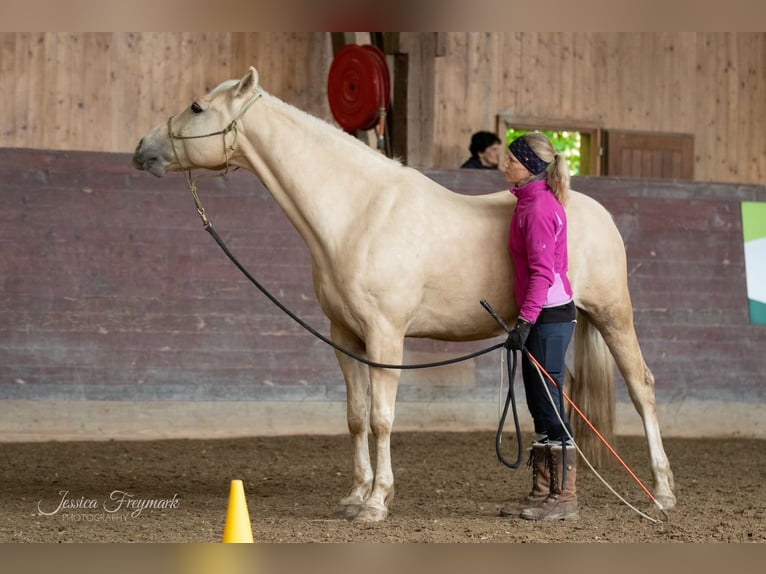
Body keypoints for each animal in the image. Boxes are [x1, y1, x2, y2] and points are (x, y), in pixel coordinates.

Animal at [132, 66, 676, 522]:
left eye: (197, 107)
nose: (142, 148)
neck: (359, 211)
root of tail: (594, 211)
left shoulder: (385, 336)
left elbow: (382, 418)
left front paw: (376, 503)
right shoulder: (345, 337)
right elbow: (356, 418)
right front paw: (355, 495)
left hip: (613, 316)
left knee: (642, 387)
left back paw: (662, 492)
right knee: (561, 404)